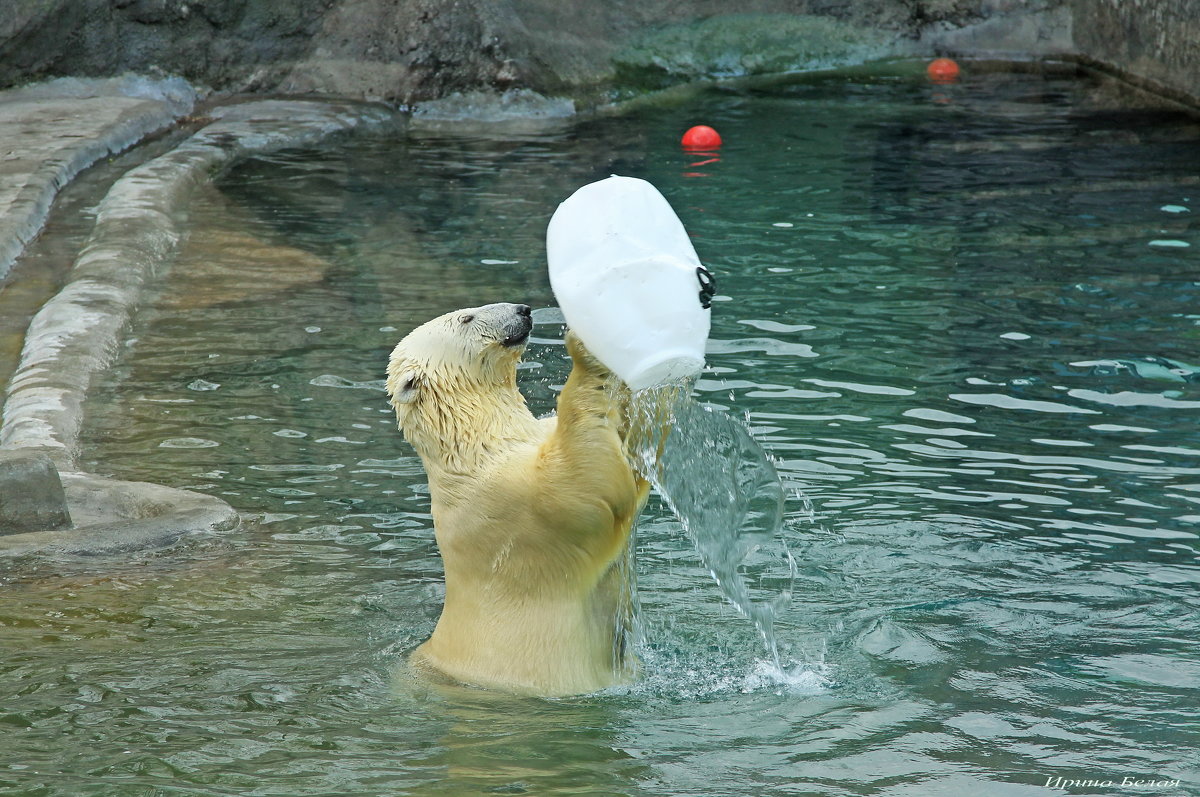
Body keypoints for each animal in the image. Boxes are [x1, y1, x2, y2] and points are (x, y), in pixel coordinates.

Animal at [386, 302, 652, 696]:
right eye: (466, 318)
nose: (523, 310)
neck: (478, 446)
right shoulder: (516, 505)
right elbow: (586, 480)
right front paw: (588, 349)